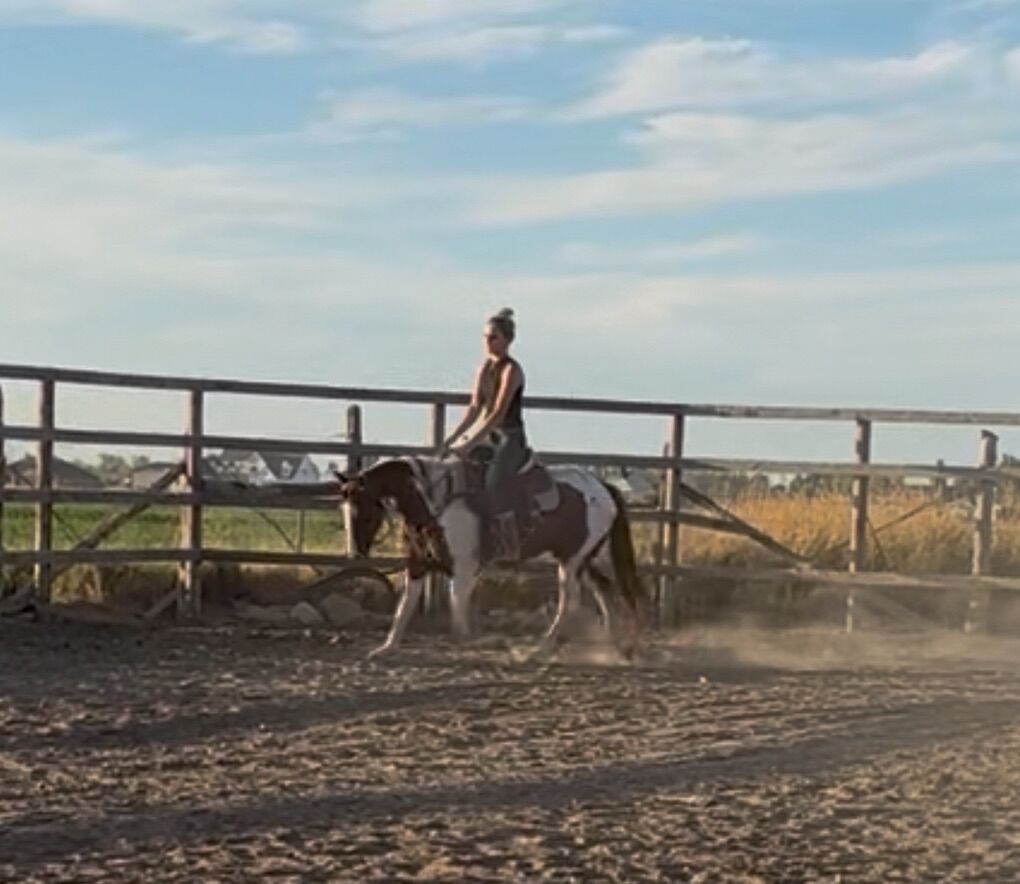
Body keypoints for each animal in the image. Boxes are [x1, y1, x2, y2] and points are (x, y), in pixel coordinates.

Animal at [336, 454, 646, 660]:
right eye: (345, 509)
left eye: (364, 512)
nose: (356, 552)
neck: (434, 504)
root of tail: (603, 487)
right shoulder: (417, 566)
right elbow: (404, 608)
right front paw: (386, 647)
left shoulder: (463, 570)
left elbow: (457, 609)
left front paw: (473, 644)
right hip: (586, 559)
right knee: (604, 591)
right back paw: (614, 645)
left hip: (572, 562)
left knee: (570, 601)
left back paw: (542, 648)